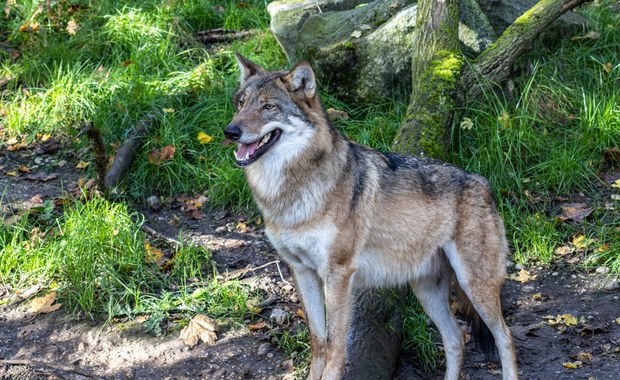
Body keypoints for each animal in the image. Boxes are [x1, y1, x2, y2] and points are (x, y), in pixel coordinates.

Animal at [224, 54, 520, 380]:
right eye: (242, 103)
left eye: (268, 107)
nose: (230, 131)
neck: (289, 192)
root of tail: (484, 184)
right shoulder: (301, 271)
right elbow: (318, 343)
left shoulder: (338, 274)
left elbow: (336, 348)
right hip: (426, 290)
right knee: (456, 339)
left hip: (474, 285)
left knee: (505, 336)